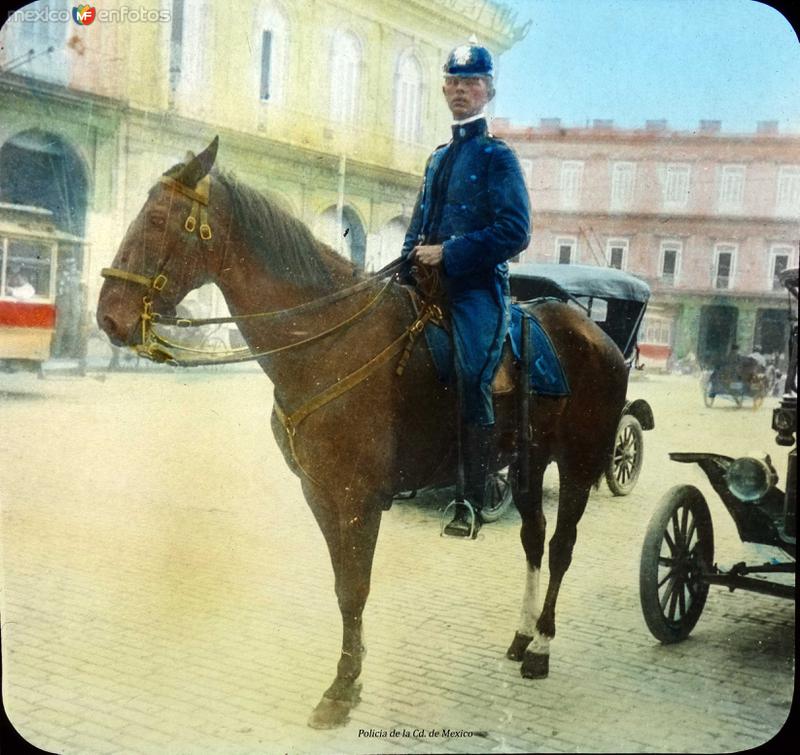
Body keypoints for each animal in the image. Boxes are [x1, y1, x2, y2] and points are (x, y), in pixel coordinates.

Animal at [95, 139, 632, 728]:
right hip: (528, 463)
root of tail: (595, 334)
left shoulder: (358, 498)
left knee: (560, 546)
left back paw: (541, 647)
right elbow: (341, 586)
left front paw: (342, 686)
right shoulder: (321, 494)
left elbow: (355, 588)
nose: (109, 318)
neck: (328, 340)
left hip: (579, 461)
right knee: (533, 538)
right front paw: (348, 677)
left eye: (159, 219)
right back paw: (521, 635)